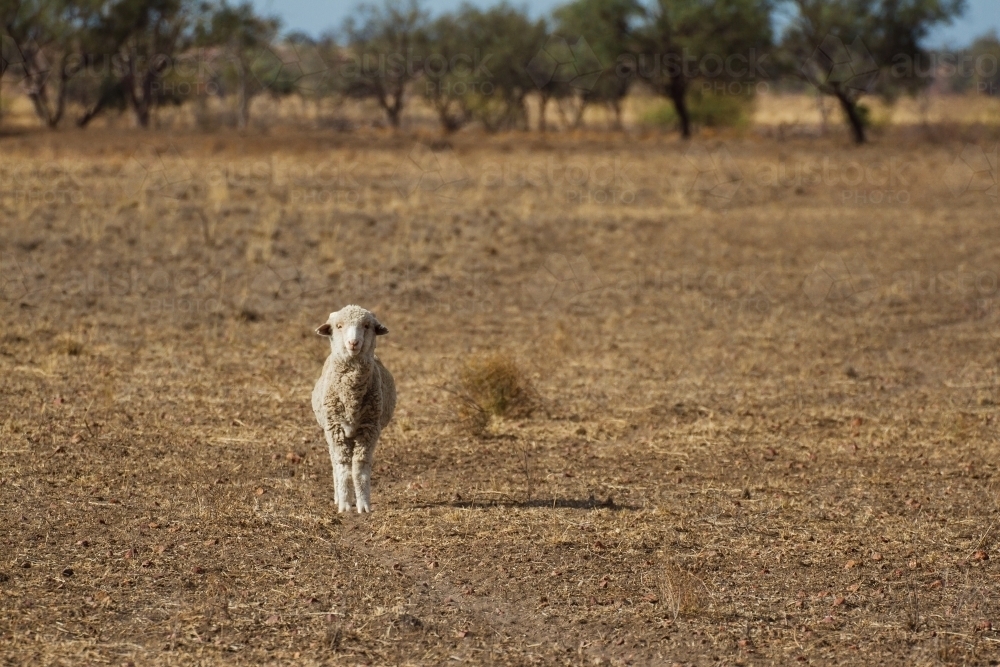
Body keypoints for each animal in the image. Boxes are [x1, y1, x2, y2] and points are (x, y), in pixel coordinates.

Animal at [312, 305, 396, 513]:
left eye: (366, 326)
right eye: (339, 326)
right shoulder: (335, 429)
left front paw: (363, 505)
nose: (353, 342)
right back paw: (339, 497)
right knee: (335, 462)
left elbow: (359, 468)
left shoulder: (369, 429)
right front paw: (344, 505)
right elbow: (342, 468)